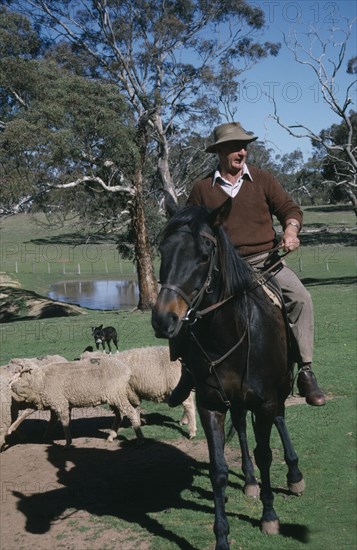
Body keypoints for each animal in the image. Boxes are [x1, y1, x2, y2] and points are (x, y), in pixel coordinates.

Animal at [152, 198, 304, 550]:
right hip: (234, 399)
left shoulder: (265, 401)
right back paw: (248, 481)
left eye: (204, 254)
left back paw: (294, 475)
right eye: (163, 250)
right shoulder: (211, 404)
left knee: (280, 419)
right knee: (242, 427)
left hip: (282, 385)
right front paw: (222, 536)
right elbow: (218, 470)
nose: (163, 319)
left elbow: (265, 455)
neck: (229, 333)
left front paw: (269, 516)